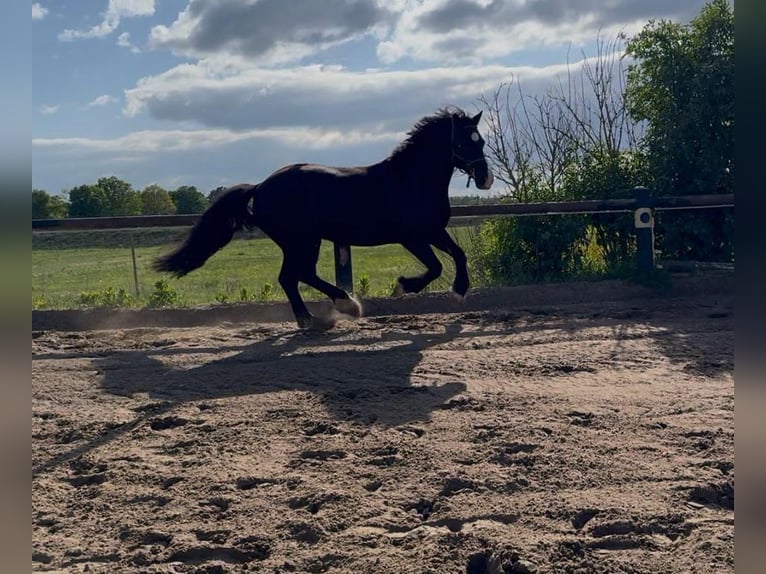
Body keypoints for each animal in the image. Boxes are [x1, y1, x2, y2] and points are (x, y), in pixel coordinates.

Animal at [153, 106, 494, 329]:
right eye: (463, 141)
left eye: (481, 141)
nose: (485, 179)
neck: (410, 180)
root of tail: (260, 186)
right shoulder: (411, 237)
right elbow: (435, 267)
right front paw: (403, 287)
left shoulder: (434, 230)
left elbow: (458, 255)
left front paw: (459, 292)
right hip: (299, 240)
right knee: (293, 276)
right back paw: (324, 314)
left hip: (305, 241)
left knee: (298, 275)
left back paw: (332, 310)